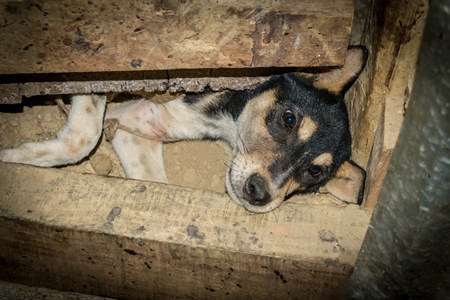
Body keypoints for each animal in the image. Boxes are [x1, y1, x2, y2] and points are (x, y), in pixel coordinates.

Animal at [0, 46, 366, 213]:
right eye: (289, 119)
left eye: (315, 172)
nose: (259, 194)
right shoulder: (98, 78)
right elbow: (83, 138)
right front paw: (12, 158)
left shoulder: (135, 124)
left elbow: (153, 183)